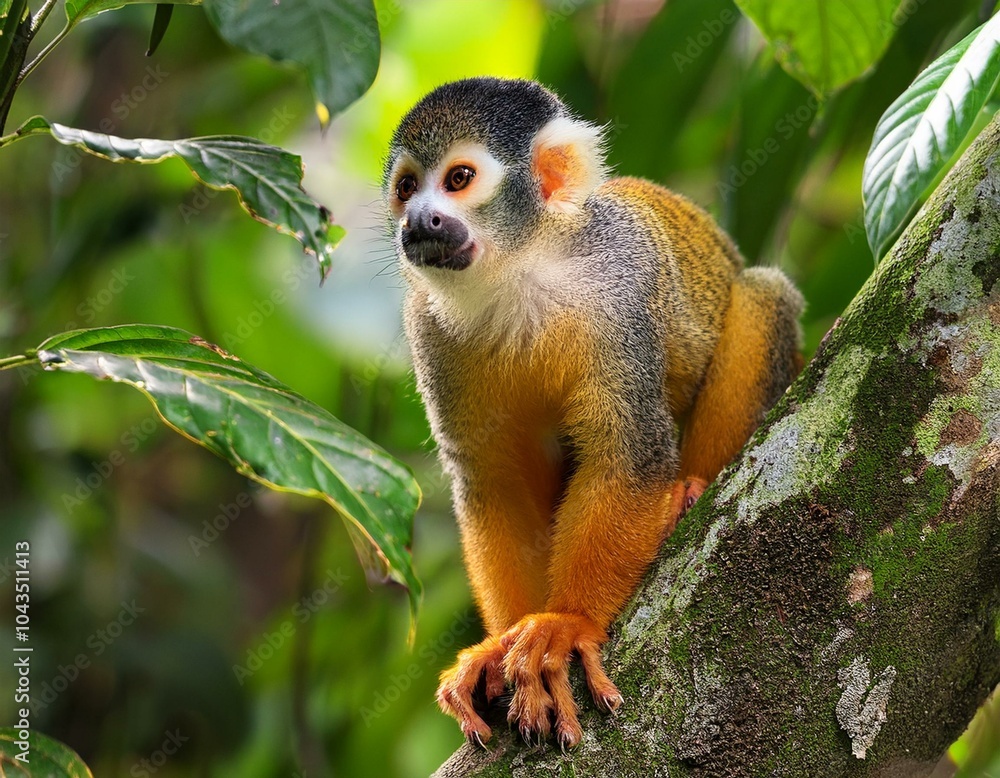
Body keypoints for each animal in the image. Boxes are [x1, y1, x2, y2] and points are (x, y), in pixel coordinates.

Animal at [383, 77, 803, 749]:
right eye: (405, 187)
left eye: (457, 179)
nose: (418, 220)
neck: (518, 271)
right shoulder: (427, 327)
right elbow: (495, 480)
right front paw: (502, 641)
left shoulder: (617, 292)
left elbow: (628, 450)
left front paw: (568, 621)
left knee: (762, 296)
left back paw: (690, 488)